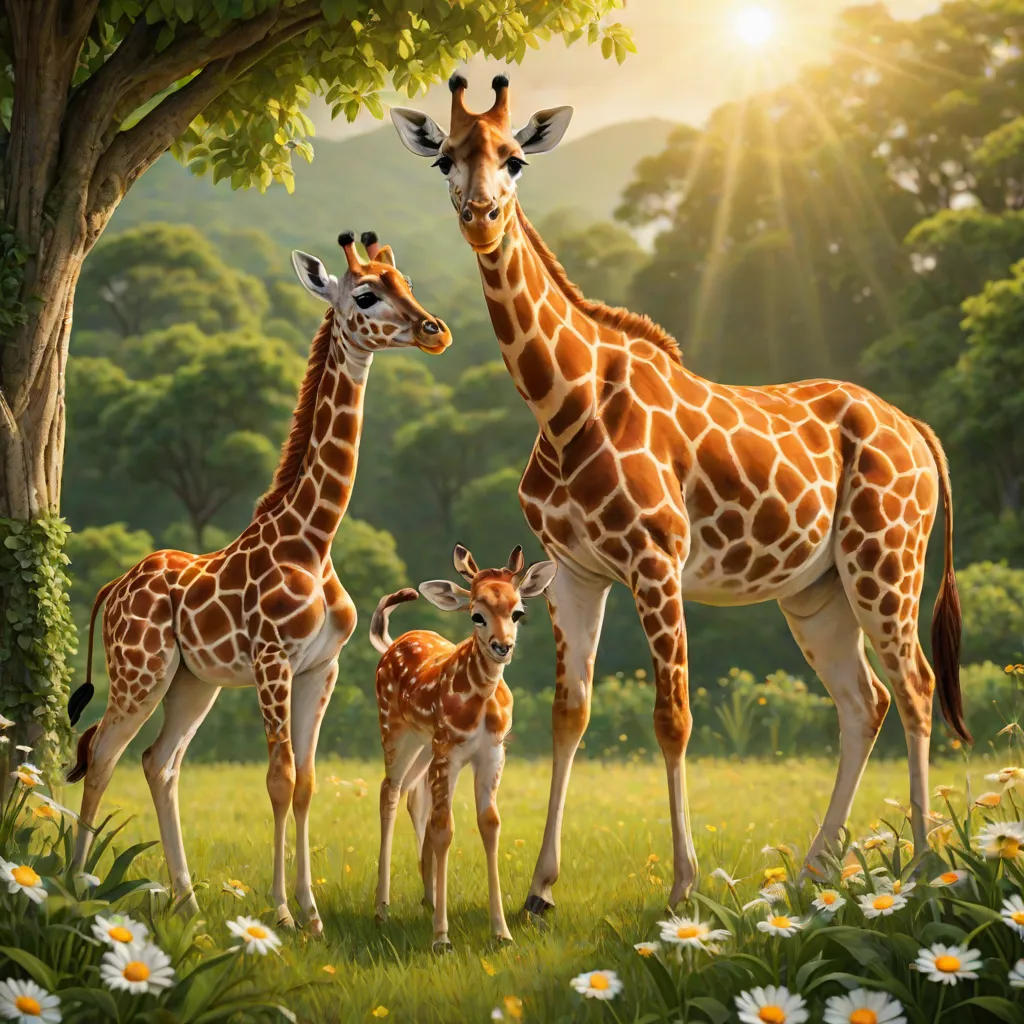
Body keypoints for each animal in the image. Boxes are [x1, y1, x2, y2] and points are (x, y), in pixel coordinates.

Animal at [65, 232, 451, 934]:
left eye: (404, 281)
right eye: (366, 294)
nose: (435, 330)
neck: (315, 538)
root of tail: (113, 588)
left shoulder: (320, 667)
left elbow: (307, 783)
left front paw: (312, 912)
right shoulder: (273, 659)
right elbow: (277, 778)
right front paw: (283, 913)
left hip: (193, 682)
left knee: (158, 762)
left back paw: (187, 902)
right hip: (140, 672)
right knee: (102, 752)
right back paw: (78, 889)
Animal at [369, 543, 556, 950]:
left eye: (518, 612)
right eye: (477, 615)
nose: (503, 646)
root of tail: (391, 644)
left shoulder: (493, 752)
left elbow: (490, 824)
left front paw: (501, 932)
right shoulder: (450, 749)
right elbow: (444, 827)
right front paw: (441, 937)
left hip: (425, 745)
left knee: (412, 794)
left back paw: (427, 895)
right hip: (395, 729)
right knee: (389, 790)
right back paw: (382, 908)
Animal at [391, 75, 968, 914]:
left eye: (516, 158)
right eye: (444, 159)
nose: (481, 216)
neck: (563, 405)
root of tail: (920, 431)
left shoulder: (656, 559)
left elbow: (673, 717)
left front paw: (682, 886)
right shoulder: (575, 571)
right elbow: (569, 713)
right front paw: (539, 890)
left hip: (885, 557)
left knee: (917, 686)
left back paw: (923, 872)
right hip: (817, 589)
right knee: (865, 702)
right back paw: (813, 873)